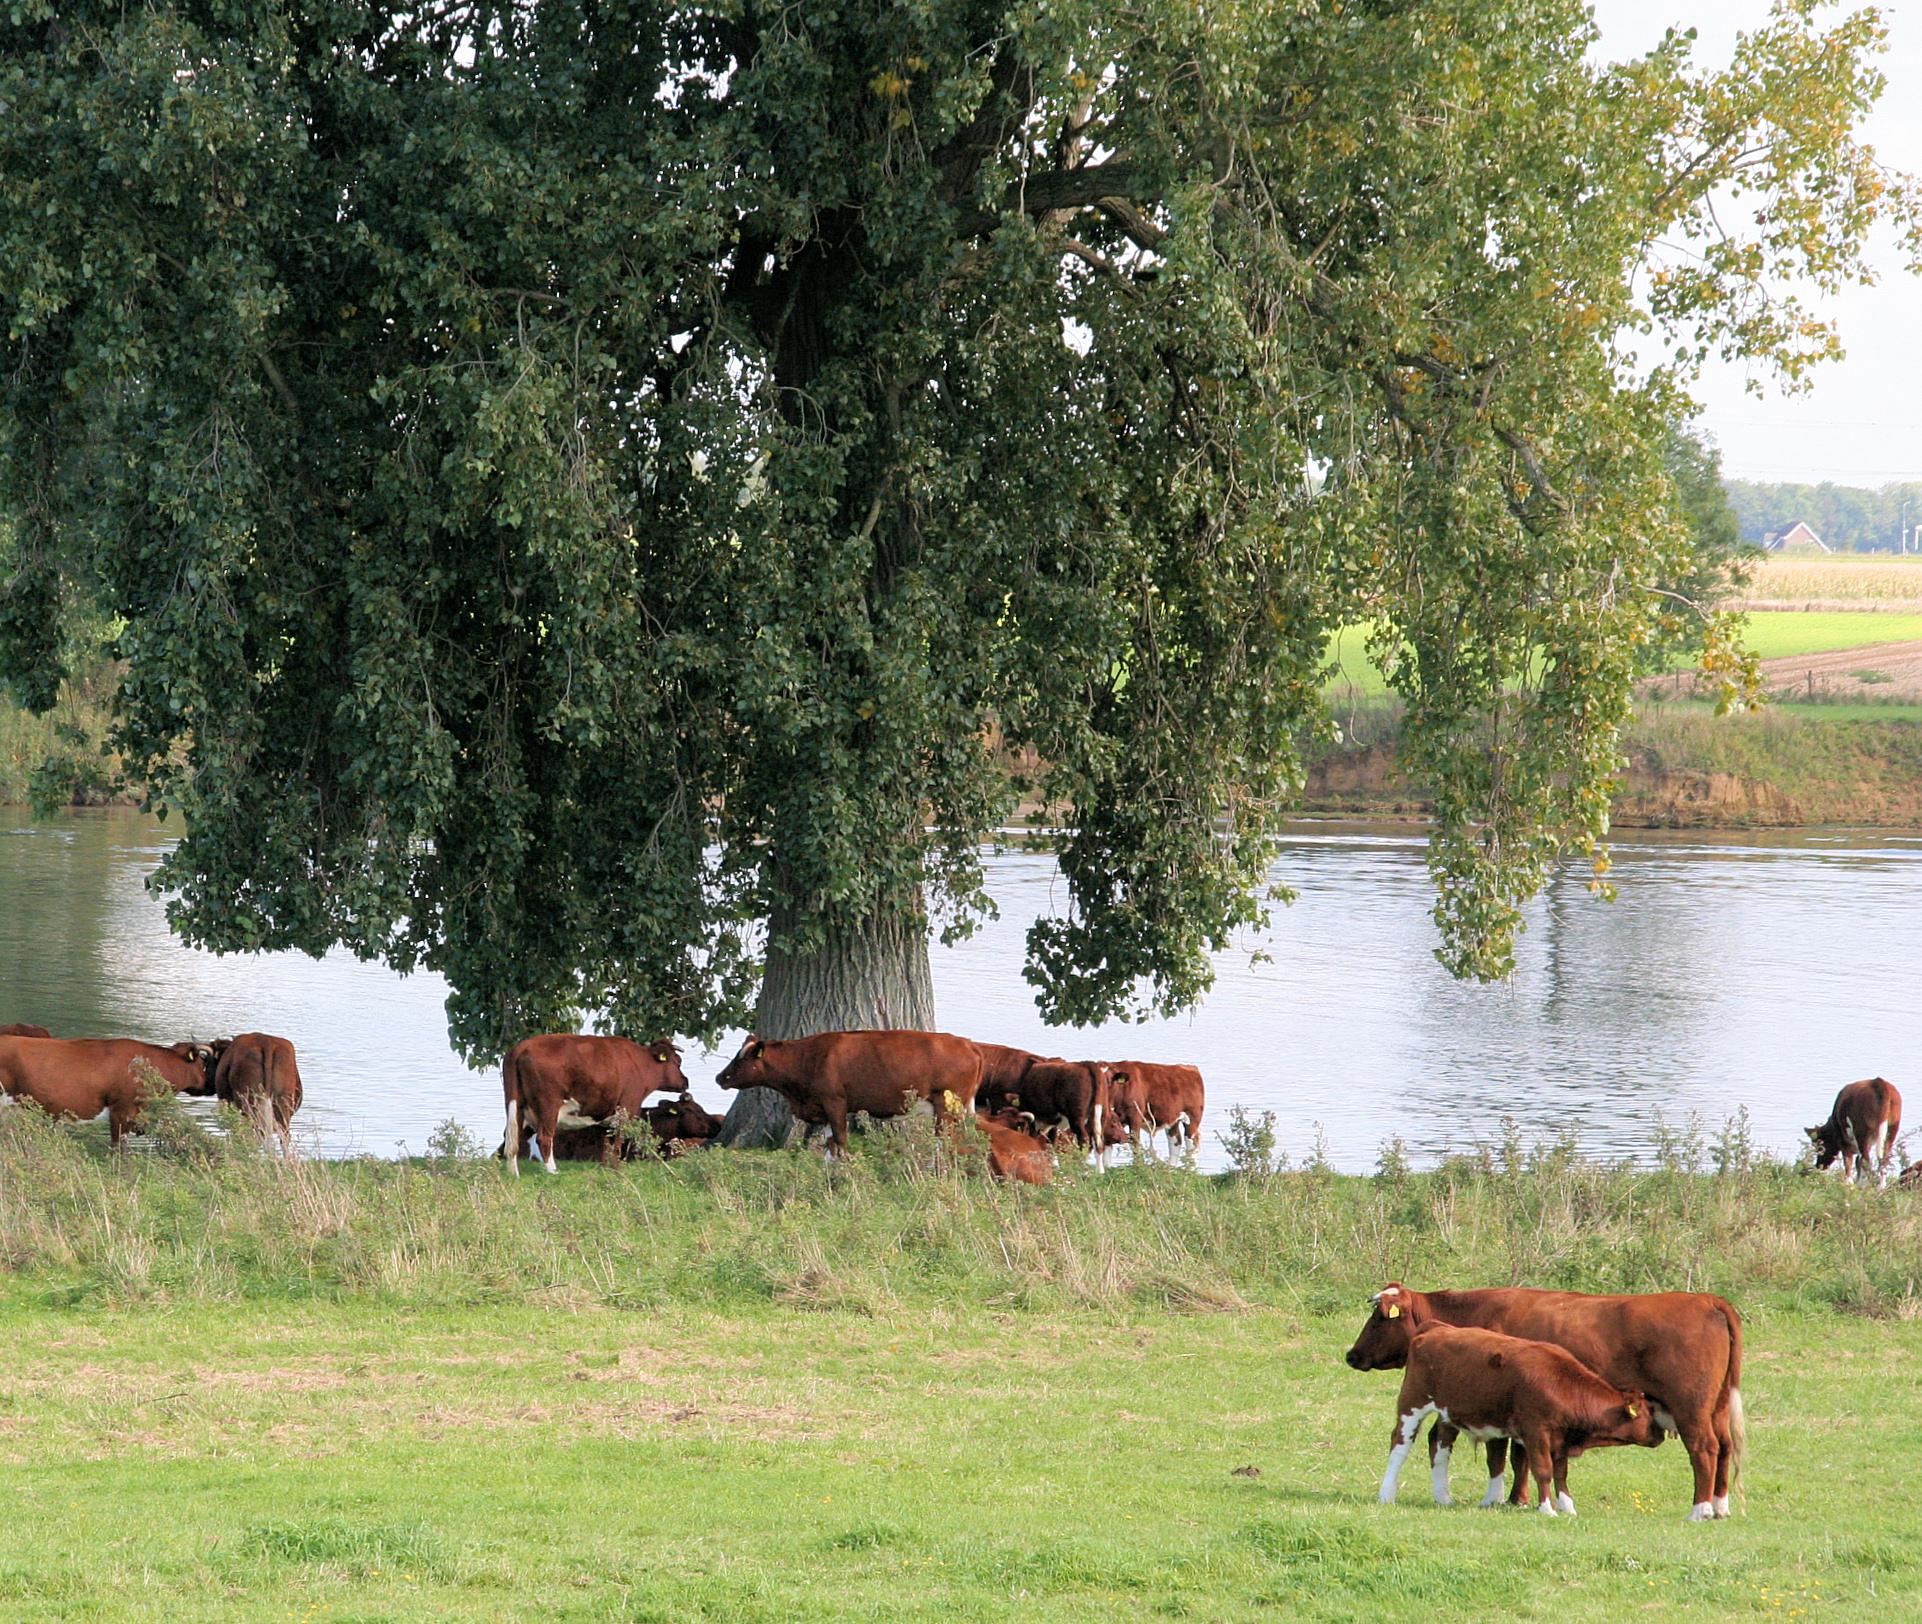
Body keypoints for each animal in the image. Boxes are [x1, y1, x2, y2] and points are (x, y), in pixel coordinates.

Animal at [503, 1030, 691, 1168]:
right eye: (677, 1061)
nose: (685, 1081)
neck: (639, 1063)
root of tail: (522, 1046)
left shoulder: (604, 1116)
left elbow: (605, 1145)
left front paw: (604, 1167)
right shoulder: (627, 1107)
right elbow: (618, 1142)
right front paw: (617, 1168)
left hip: (515, 1104)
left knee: (512, 1140)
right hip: (549, 1106)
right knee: (544, 1138)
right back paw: (553, 1171)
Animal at [722, 1030, 991, 1153]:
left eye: (742, 1059)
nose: (719, 1077)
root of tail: (968, 1044)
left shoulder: (835, 1102)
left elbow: (840, 1140)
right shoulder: (822, 1109)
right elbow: (826, 1143)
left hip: (946, 1108)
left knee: (945, 1142)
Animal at [1383, 1322, 1668, 1514]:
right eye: (1646, 1413)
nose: (1660, 1435)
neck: (1563, 1384)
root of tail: (1436, 1327)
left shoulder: (1561, 1438)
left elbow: (1561, 1473)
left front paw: (1568, 1507)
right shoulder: (1536, 1431)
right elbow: (1543, 1470)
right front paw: (1548, 1509)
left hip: (1448, 1414)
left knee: (1439, 1447)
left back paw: (1443, 1497)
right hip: (1412, 1403)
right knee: (1400, 1445)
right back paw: (1386, 1494)